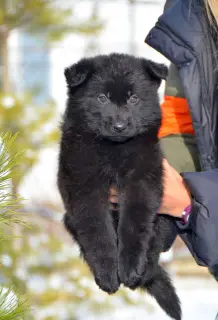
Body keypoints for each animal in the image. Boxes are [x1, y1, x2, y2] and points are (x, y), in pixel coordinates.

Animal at [57, 53, 181, 318]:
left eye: (134, 98)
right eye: (102, 98)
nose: (120, 126)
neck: (113, 150)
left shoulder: (141, 180)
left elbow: (133, 225)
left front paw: (130, 269)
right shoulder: (84, 186)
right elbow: (97, 231)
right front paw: (107, 274)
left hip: (164, 220)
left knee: (155, 246)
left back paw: (144, 272)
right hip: (68, 218)